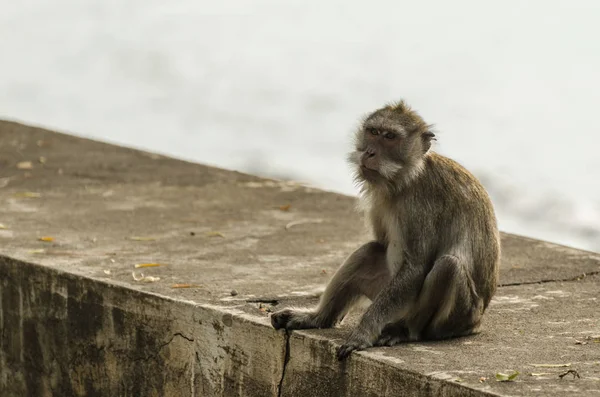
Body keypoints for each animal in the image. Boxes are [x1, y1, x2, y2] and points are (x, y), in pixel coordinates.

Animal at [270, 99, 500, 358]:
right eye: (373, 132)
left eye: (390, 137)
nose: (369, 152)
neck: (405, 179)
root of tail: (476, 324)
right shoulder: (380, 198)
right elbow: (381, 243)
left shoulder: (421, 204)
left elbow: (415, 267)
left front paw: (363, 333)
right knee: (370, 251)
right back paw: (318, 318)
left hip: (457, 317)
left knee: (447, 266)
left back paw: (407, 331)